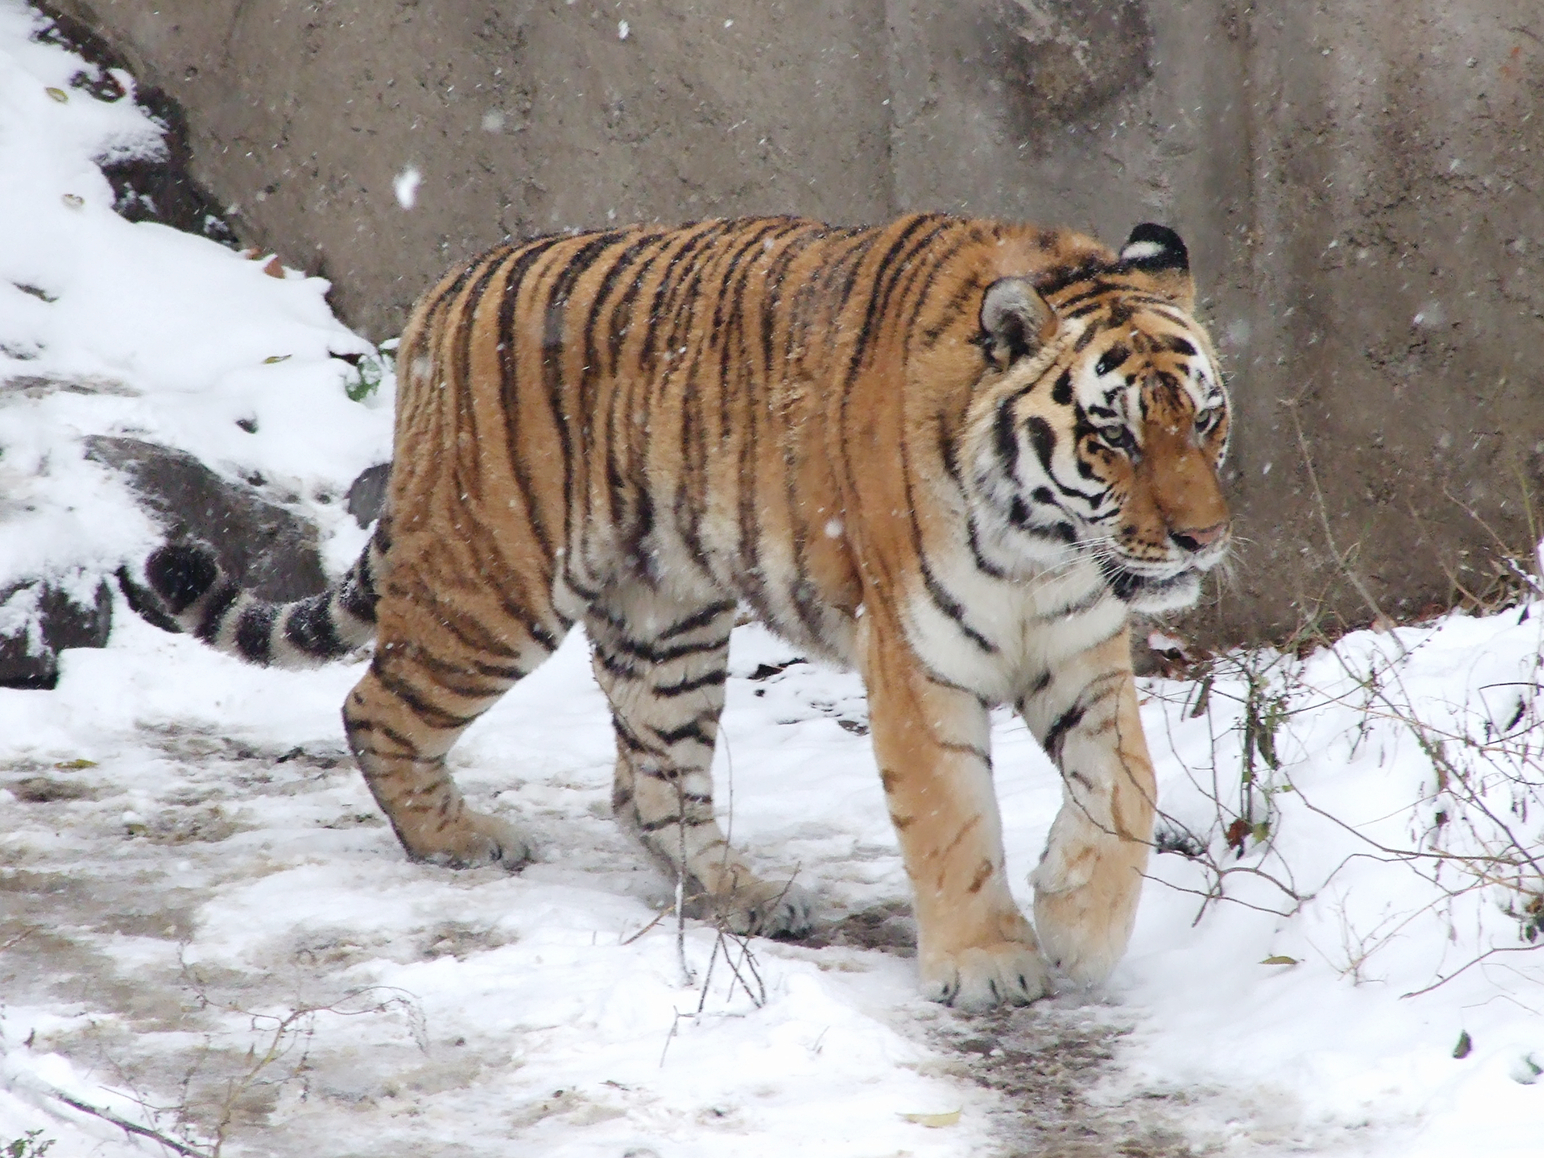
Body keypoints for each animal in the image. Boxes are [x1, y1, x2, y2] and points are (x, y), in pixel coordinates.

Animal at [135, 214, 1231, 1010]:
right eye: (1114, 438)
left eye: (1205, 420)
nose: (1201, 538)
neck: (1044, 546)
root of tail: (448, 289)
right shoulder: (917, 658)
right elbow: (950, 818)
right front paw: (988, 963)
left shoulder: (1078, 645)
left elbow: (1126, 785)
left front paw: (1078, 930)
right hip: (494, 581)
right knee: (377, 708)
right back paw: (460, 841)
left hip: (664, 617)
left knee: (648, 785)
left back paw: (748, 897)